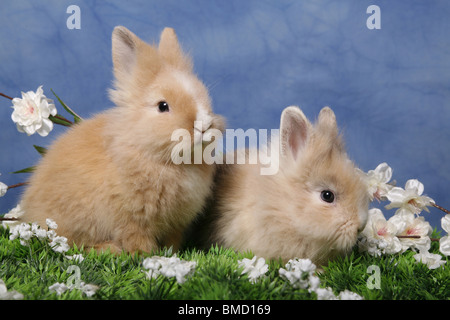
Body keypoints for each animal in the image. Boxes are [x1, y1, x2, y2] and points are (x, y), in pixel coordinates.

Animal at [20, 26, 225, 254]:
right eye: (163, 106)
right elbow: (137, 240)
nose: (205, 125)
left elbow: (172, 241)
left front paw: (172, 255)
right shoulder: (133, 219)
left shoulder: (175, 224)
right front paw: (147, 255)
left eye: (205, 98)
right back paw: (110, 249)